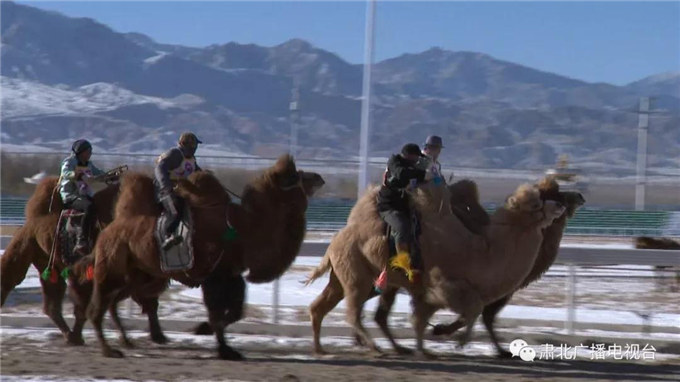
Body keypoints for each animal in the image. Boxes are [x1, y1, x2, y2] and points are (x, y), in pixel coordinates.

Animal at [0, 177, 168, 346]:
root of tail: (32, 221)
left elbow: (149, 302)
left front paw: (158, 336)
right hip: (29, 248)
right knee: (14, 277)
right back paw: (73, 336)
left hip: (47, 263)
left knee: (52, 301)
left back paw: (71, 335)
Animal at [87, 154, 322, 358]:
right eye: (295, 176)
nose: (319, 177)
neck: (246, 227)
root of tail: (107, 229)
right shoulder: (215, 275)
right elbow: (218, 313)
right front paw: (220, 345)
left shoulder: (231, 274)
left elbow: (235, 312)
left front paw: (210, 335)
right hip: (112, 270)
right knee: (97, 309)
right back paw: (109, 350)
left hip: (137, 275)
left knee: (114, 302)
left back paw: (125, 341)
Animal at [306, 181, 564, 356]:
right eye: (536, 203)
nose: (559, 205)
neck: (484, 251)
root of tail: (335, 241)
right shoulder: (444, 284)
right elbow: (473, 309)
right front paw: (452, 339)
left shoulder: (427, 293)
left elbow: (421, 319)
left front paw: (429, 344)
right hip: (356, 276)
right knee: (353, 312)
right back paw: (375, 347)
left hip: (350, 277)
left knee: (322, 307)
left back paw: (321, 349)